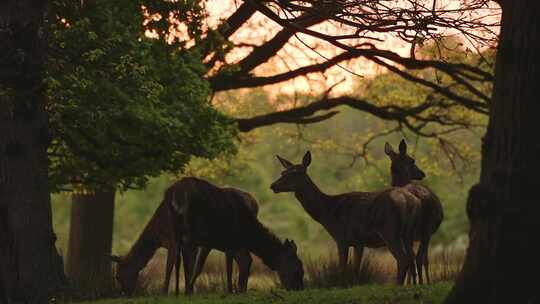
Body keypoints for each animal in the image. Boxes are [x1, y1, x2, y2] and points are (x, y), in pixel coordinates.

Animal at [107, 186, 258, 296]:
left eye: (118, 275)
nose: (124, 293)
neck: (159, 231)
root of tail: (255, 203)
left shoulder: (174, 241)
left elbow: (171, 266)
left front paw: (165, 292)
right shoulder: (181, 243)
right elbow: (182, 264)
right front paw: (181, 291)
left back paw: (236, 290)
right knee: (245, 259)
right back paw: (241, 289)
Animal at [168, 177, 304, 290]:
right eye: (297, 270)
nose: (299, 288)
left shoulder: (221, 243)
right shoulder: (223, 242)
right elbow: (206, 267)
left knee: (245, 260)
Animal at [272, 152, 420, 284]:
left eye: (294, 173)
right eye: (283, 172)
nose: (273, 185)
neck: (327, 212)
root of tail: (409, 200)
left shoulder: (341, 238)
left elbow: (342, 268)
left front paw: (342, 284)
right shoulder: (358, 242)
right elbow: (355, 269)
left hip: (390, 231)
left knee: (403, 259)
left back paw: (398, 284)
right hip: (407, 234)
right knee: (411, 258)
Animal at [386, 140, 446, 284]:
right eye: (412, 160)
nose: (422, 173)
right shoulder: (425, 233)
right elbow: (425, 259)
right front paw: (426, 281)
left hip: (411, 232)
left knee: (410, 257)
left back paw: (415, 282)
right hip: (426, 228)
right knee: (418, 258)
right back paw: (420, 282)